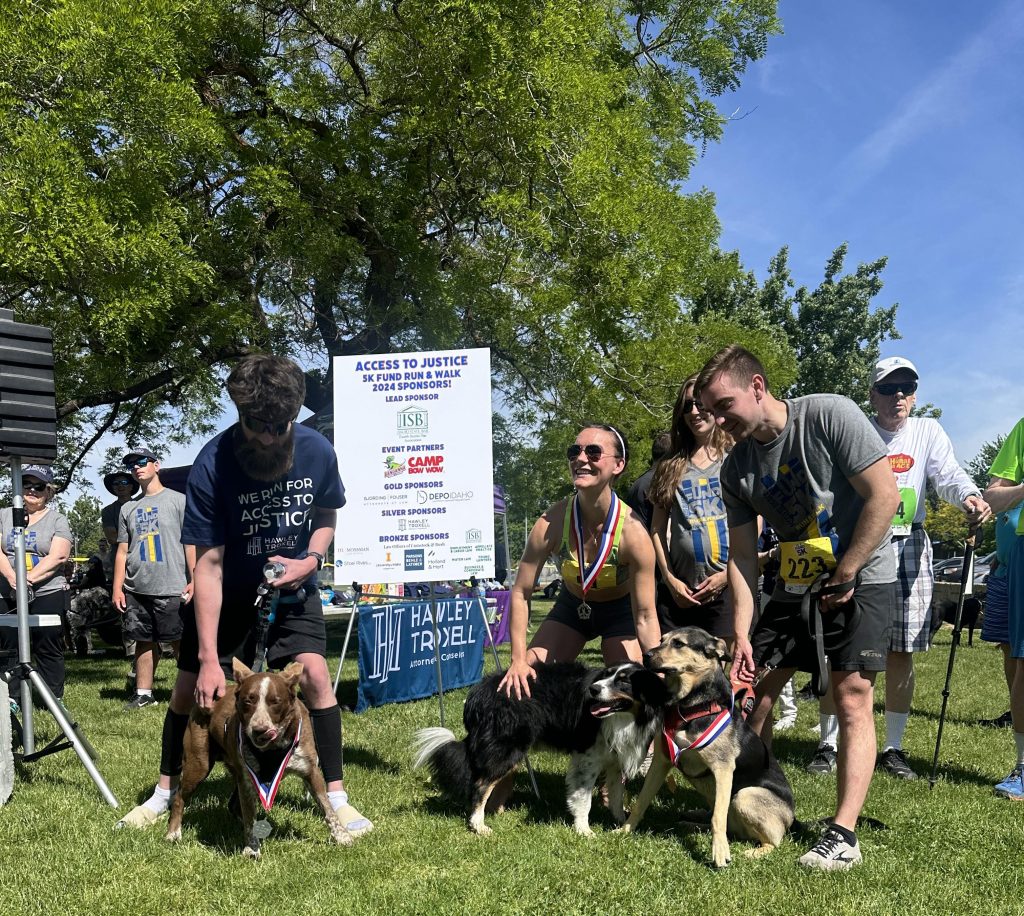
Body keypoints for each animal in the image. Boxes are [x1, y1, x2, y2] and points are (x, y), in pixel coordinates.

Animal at [165, 659, 354, 859]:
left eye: (276, 701)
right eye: (249, 700)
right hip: (198, 764)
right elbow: (250, 818)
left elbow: (328, 808)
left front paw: (342, 836)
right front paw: (251, 849)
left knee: (233, 805)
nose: (259, 730)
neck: (273, 748)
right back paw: (173, 832)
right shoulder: (248, 780)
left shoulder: (310, 771)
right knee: (179, 797)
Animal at [411, 663, 667, 835]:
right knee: (480, 784)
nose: (593, 690)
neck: (625, 717)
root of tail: (478, 691)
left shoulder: (615, 759)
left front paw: (622, 824)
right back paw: (479, 825)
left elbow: (615, 795)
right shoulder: (588, 757)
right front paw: (584, 830)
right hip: (508, 747)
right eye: (607, 675)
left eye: (623, 680)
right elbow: (583, 797)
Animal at [618, 626, 794, 871]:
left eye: (679, 643)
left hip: (745, 795)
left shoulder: (723, 769)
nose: (646, 655)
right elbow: (642, 800)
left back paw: (754, 851)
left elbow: (718, 817)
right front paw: (625, 829)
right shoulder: (661, 761)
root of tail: (793, 819)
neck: (688, 705)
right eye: (662, 639)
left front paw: (719, 852)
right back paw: (691, 824)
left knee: (773, 840)